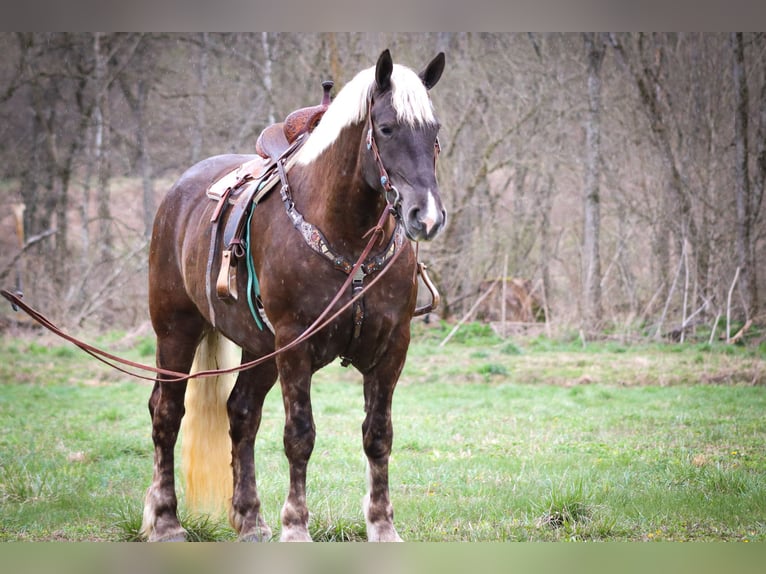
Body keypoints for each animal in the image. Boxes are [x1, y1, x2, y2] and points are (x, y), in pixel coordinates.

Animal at [141, 50, 448, 544]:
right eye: (385, 128)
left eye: (433, 130)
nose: (428, 216)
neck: (345, 235)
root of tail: (177, 194)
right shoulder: (295, 345)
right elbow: (299, 435)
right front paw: (296, 526)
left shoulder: (391, 348)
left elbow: (378, 435)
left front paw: (382, 525)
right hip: (177, 330)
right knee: (166, 413)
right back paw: (166, 520)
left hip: (259, 349)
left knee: (242, 414)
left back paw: (250, 519)